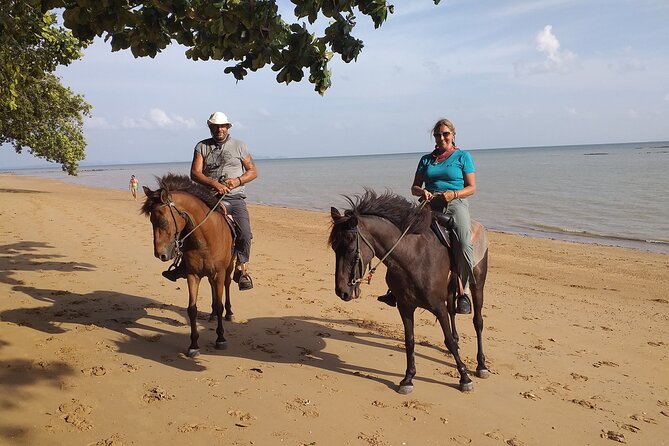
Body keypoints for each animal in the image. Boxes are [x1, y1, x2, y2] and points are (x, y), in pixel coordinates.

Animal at [142, 172, 235, 358]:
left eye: (162, 221)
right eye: (151, 221)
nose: (160, 254)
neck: (205, 239)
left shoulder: (219, 273)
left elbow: (220, 305)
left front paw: (220, 338)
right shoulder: (193, 275)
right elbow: (192, 309)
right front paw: (193, 345)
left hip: (228, 269)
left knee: (227, 287)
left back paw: (229, 313)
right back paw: (212, 315)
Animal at [330, 190, 490, 392]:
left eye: (351, 248)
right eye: (334, 248)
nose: (341, 291)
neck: (414, 256)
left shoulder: (438, 306)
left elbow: (449, 341)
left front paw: (464, 378)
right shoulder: (405, 306)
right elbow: (410, 340)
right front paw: (408, 378)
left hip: (478, 285)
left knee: (478, 322)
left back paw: (481, 365)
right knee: (453, 311)